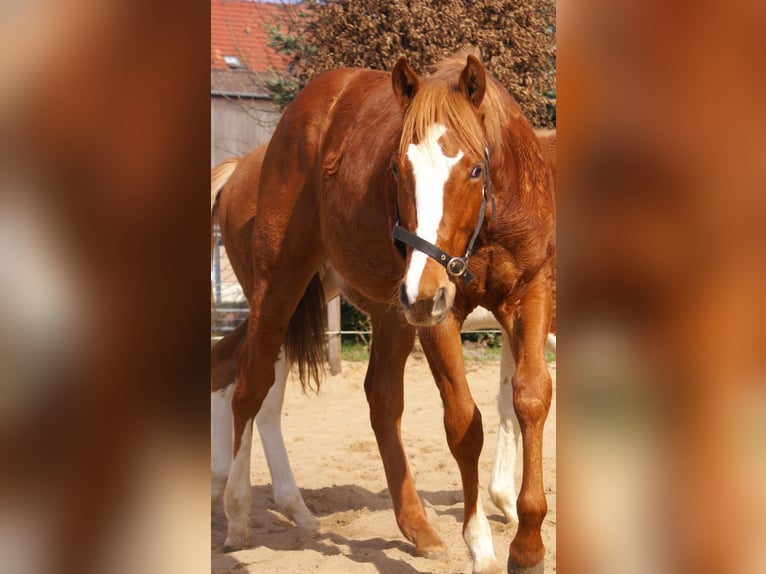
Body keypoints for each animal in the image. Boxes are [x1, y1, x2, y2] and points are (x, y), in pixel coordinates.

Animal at [211, 52, 556, 574]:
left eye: (476, 169)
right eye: (395, 170)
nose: (423, 291)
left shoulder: (528, 297)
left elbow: (529, 399)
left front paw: (529, 542)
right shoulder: (441, 318)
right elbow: (464, 422)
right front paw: (481, 545)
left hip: (383, 312)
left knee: (377, 399)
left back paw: (411, 528)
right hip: (281, 291)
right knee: (250, 386)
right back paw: (236, 515)